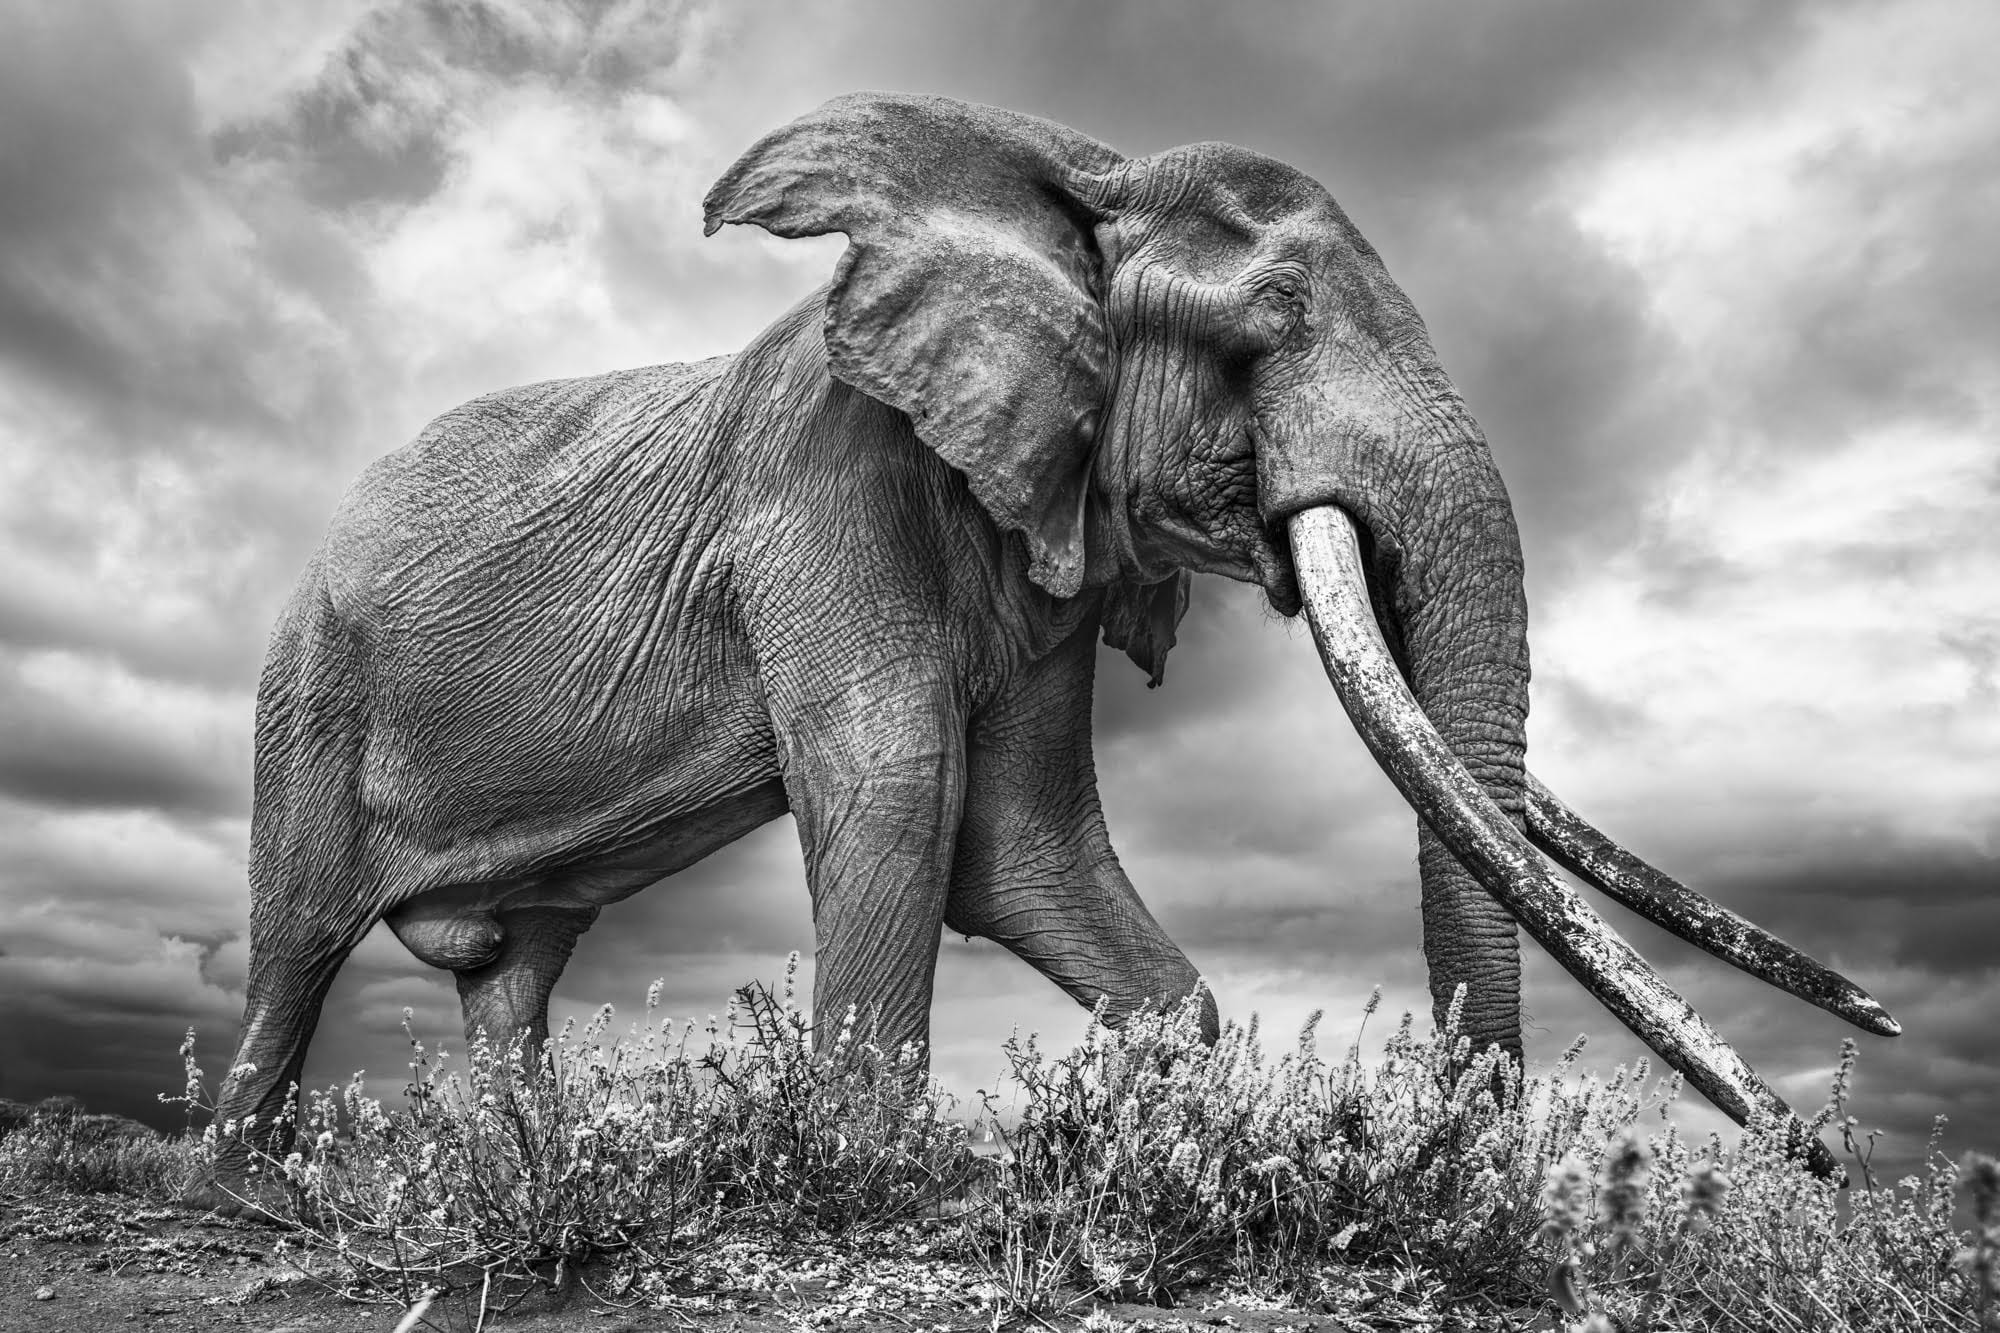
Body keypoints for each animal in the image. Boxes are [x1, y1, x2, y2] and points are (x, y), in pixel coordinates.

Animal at [196, 92, 1897, 1202]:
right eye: (1272, 321)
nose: (1837, 1143)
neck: (1077, 176)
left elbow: (1020, 849)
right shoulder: (823, 477)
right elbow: (904, 798)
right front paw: (867, 1171)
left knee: (518, 971)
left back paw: (519, 1173)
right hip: (308, 687)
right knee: (295, 942)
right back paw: (242, 1182)